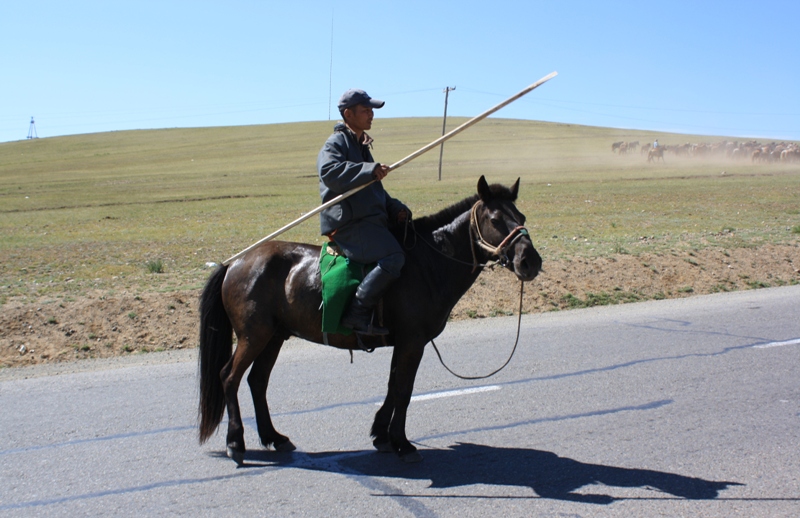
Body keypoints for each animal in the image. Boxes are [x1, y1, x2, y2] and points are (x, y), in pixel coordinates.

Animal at [197, 177, 540, 466]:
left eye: (521, 217)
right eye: (494, 220)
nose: (530, 261)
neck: (427, 264)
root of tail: (234, 263)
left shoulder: (403, 342)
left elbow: (393, 386)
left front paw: (382, 435)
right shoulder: (412, 342)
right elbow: (403, 390)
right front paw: (402, 443)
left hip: (274, 336)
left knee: (257, 382)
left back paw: (274, 438)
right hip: (253, 336)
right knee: (229, 377)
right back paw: (235, 444)